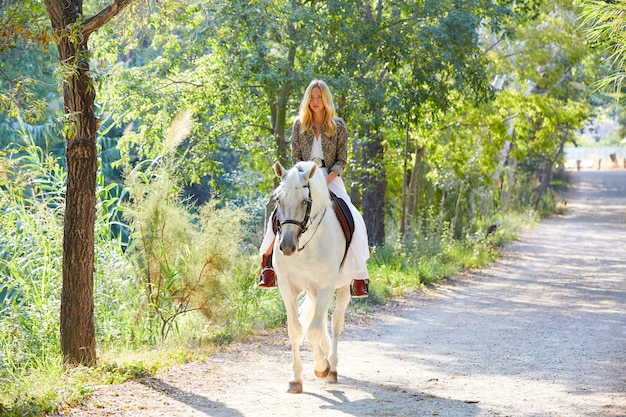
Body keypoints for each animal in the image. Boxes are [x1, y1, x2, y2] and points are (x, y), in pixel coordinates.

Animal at [270, 159, 354, 394]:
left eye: (305, 201)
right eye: (278, 199)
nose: (287, 246)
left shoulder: (326, 288)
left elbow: (315, 331)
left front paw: (321, 367)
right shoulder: (287, 288)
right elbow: (296, 330)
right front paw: (296, 378)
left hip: (342, 288)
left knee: (335, 323)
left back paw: (331, 366)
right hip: (313, 290)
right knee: (320, 322)